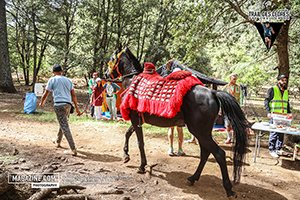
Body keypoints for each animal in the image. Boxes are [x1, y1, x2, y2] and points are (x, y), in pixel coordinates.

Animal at [105, 47, 248, 197]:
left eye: (111, 59)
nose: (105, 73)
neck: (133, 81)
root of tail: (213, 93)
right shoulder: (138, 121)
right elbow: (127, 134)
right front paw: (126, 155)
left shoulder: (135, 120)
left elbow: (140, 143)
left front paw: (142, 166)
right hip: (202, 132)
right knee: (205, 153)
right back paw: (193, 178)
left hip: (199, 131)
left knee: (218, 154)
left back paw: (228, 188)